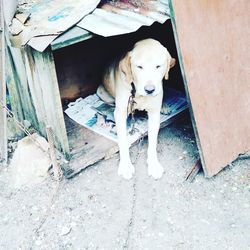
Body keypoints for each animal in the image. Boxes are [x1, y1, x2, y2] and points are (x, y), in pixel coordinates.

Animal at [96, 38, 175, 180]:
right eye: (139, 67)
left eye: (158, 66)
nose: (149, 90)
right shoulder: (121, 113)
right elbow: (122, 140)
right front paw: (126, 166)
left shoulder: (154, 114)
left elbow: (153, 142)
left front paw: (153, 164)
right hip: (101, 93)